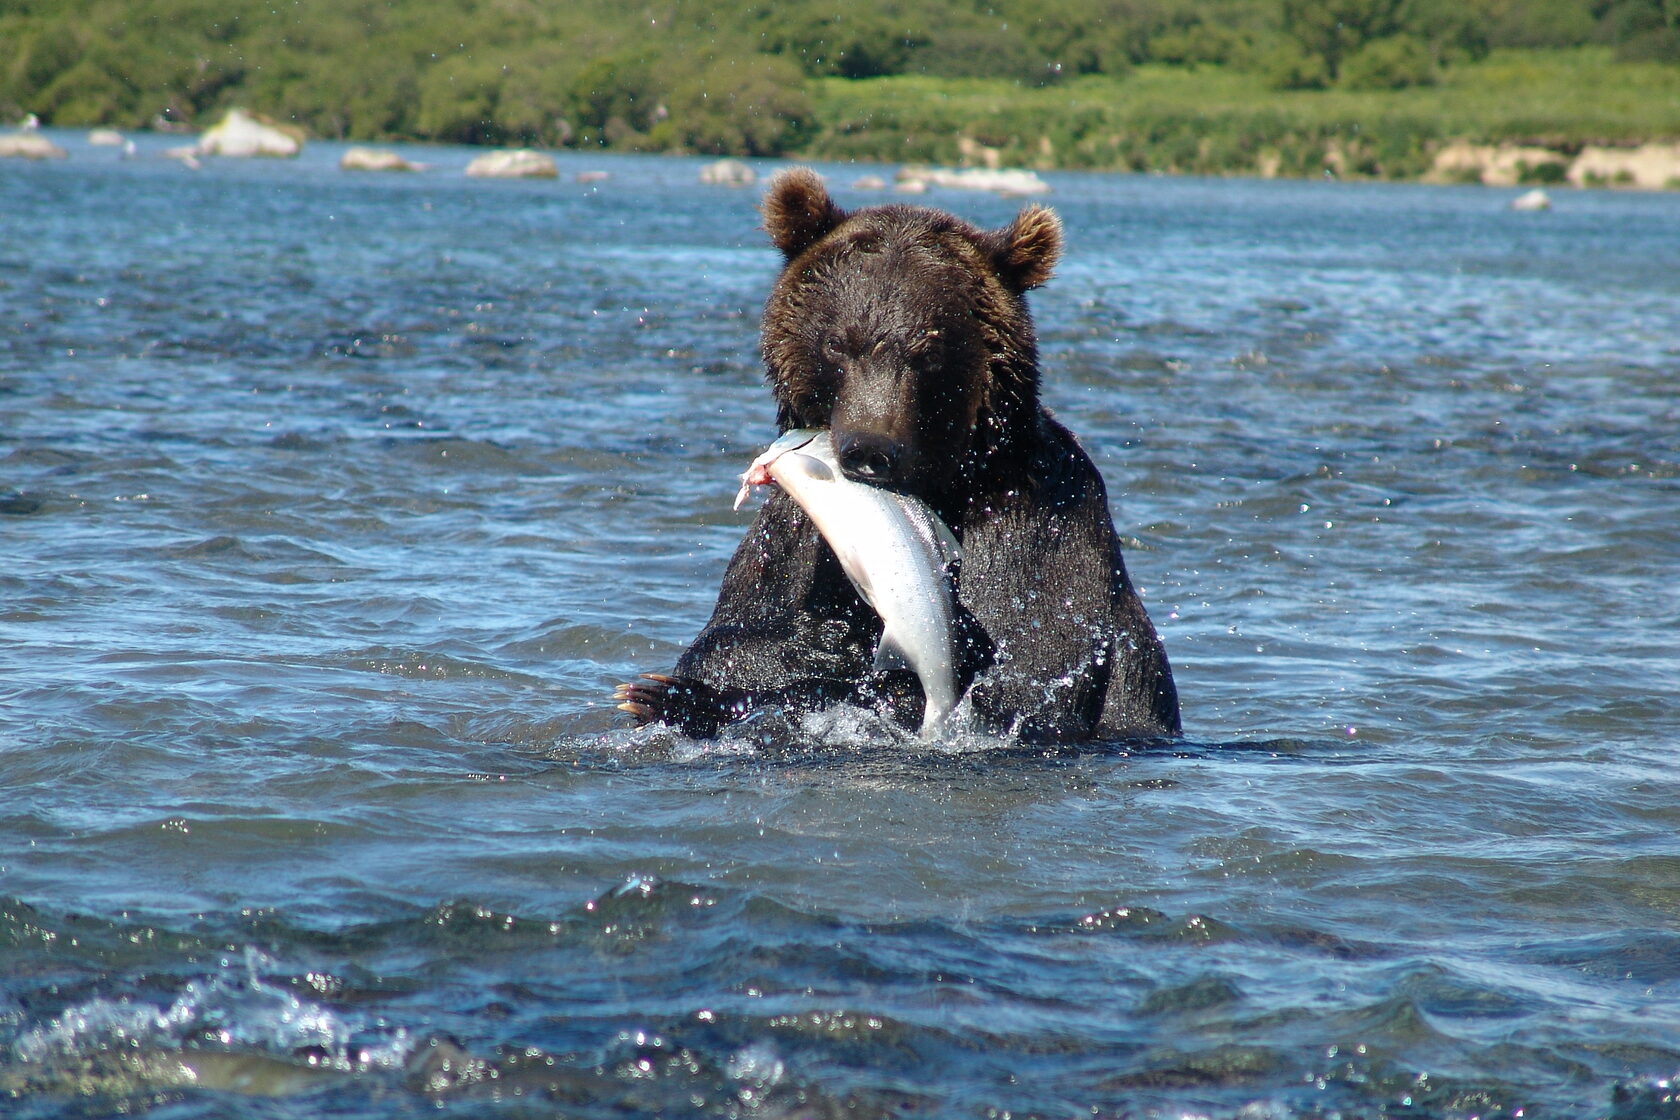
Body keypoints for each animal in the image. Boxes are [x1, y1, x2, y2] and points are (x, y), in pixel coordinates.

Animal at [618, 168, 1182, 745]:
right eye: (837, 343)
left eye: (929, 351)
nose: (868, 450)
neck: (947, 483)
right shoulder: (788, 534)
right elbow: (733, 632)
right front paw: (664, 693)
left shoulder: (1037, 521)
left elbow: (1029, 673)